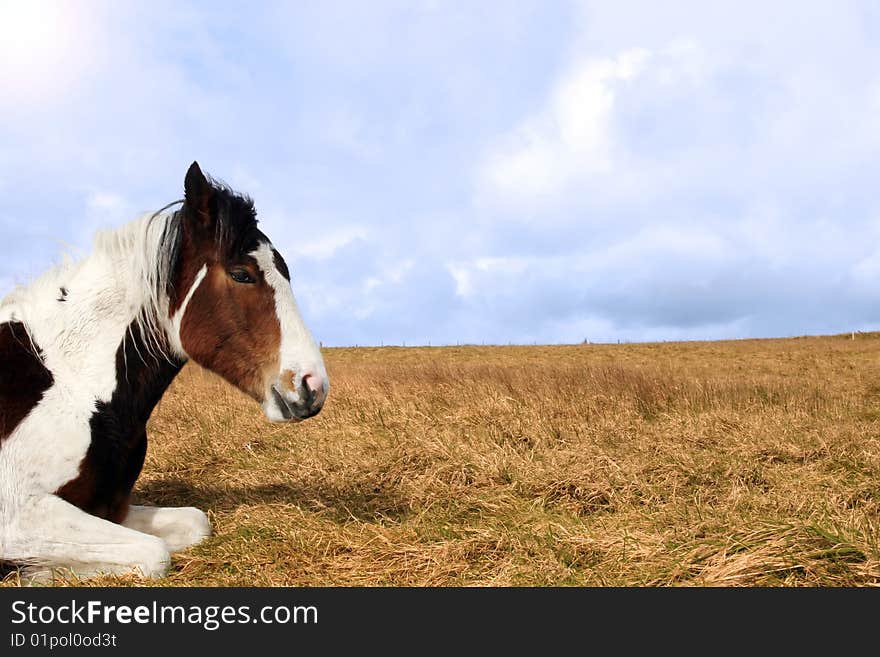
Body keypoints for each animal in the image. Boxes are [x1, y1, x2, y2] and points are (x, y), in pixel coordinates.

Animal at [0, 163, 328, 580]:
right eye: (242, 274)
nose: (313, 386)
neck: (75, 386)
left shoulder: (111, 508)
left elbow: (193, 524)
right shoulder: (17, 516)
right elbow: (154, 554)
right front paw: (40, 572)